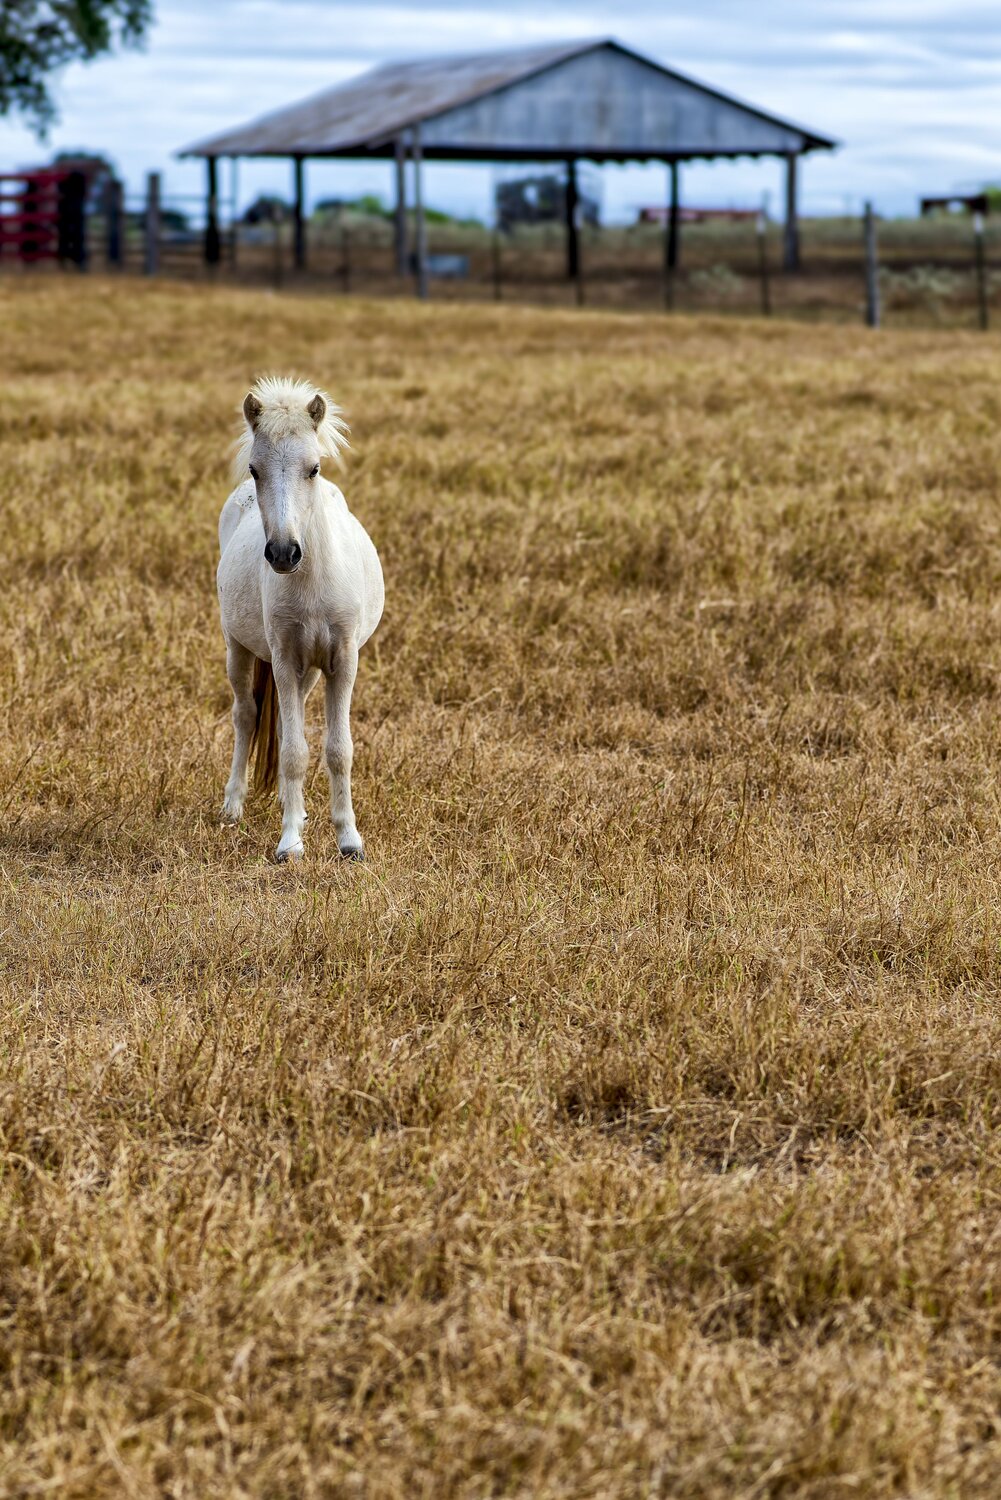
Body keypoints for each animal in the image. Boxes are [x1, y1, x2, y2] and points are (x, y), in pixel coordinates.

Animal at [217, 376, 384, 862]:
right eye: (255, 470)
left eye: (314, 468)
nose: (283, 554)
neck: (311, 582)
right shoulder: (284, 659)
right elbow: (293, 751)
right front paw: (290, 843)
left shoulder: (342, 661)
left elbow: (337, 749)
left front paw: (349, 840)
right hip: (238, 649)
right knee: (246, 715)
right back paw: (234, 805)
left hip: (310, 671)